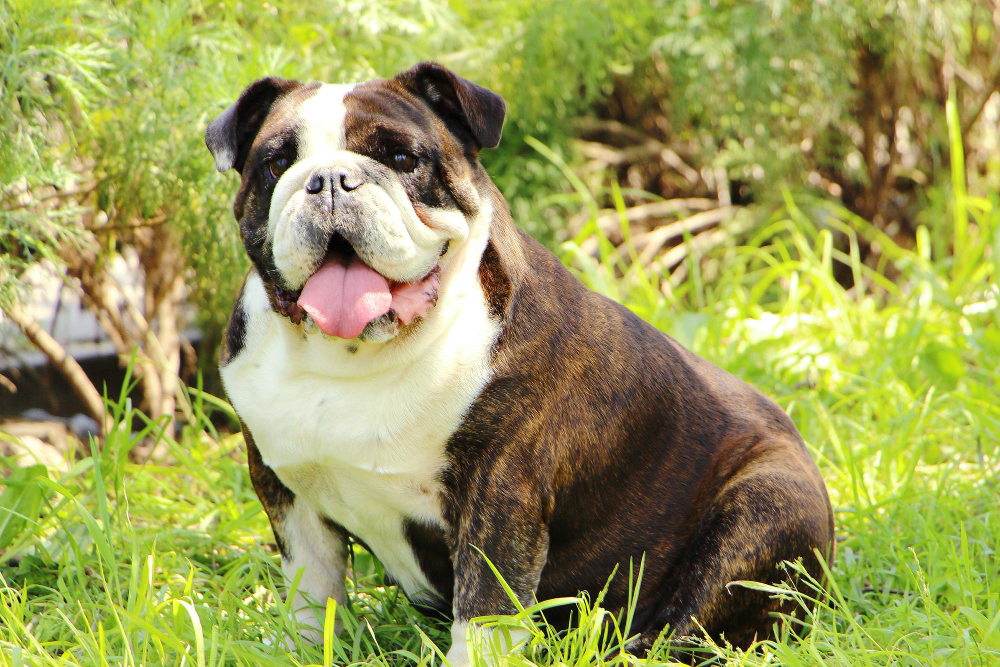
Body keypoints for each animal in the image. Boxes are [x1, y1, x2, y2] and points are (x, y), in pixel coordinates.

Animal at [205, 62, 834, 664]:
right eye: (276, 164)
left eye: (403, 159)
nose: (331, 179)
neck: (352, 361)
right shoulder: (287, 489)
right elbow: (312, 591)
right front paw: (302, 648)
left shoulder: (501, 490)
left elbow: (484, 606)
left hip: (767, 506)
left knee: (690, 622)